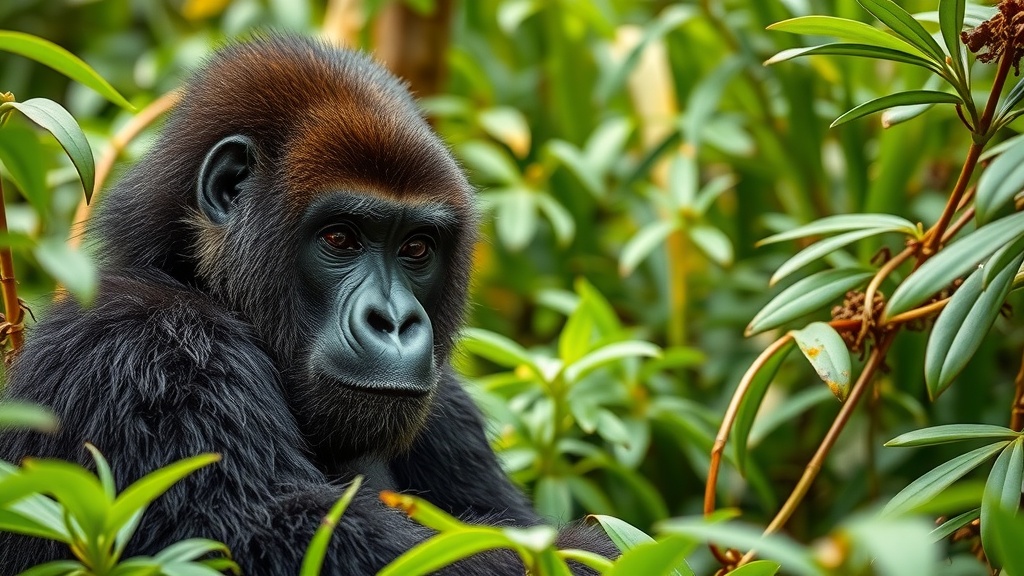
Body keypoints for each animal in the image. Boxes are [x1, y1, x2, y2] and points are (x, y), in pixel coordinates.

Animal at [0, 34, 606, 569]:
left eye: (416, 247)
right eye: (339, 238)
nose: (394, 321)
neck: (185, 272)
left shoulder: (446, 405)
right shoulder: (148, 349)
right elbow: (296, 539)